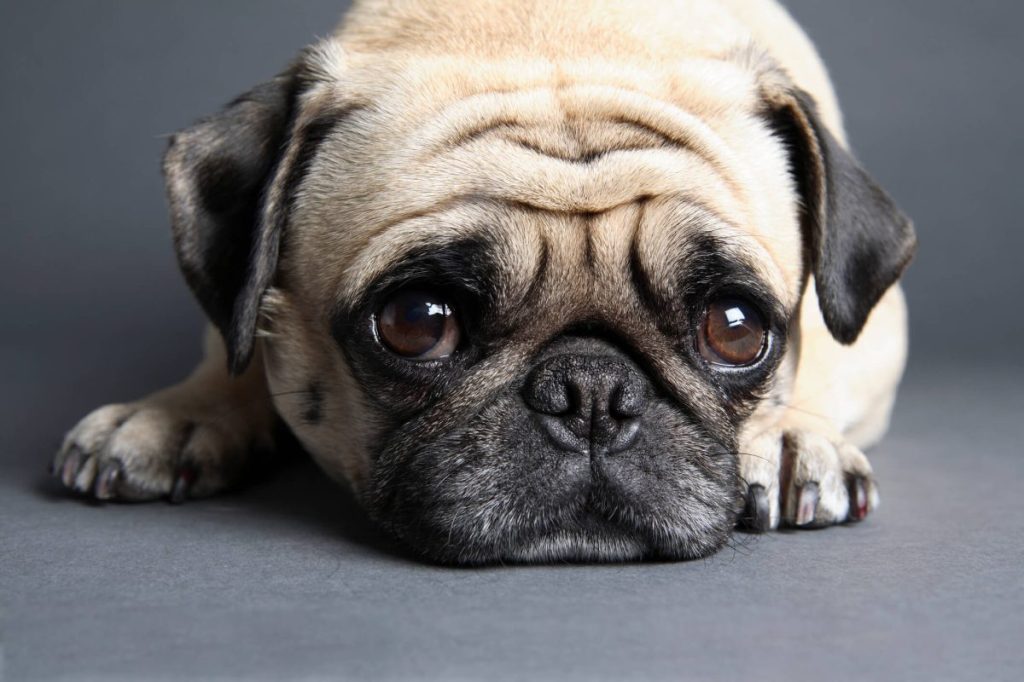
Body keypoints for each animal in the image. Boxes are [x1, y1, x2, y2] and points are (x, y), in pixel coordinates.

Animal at [51, 0, 917, 561]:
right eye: (417, 321)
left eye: (734, 329)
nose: (591, 390)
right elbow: (233, 340)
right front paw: (179, 413)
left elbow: (829, 348)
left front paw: (791, 434)